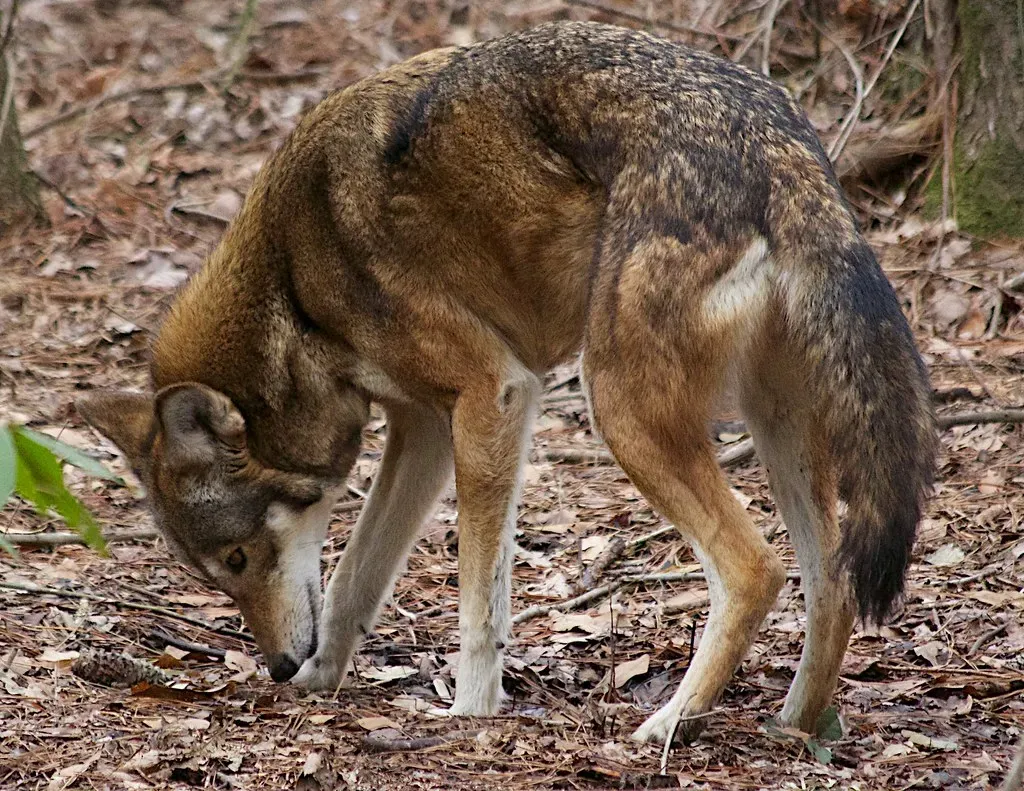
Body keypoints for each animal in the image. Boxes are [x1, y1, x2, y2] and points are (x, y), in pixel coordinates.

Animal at [77, 21, 936, 744]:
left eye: (236, 560)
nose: (281, 667)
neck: (294, 285)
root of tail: (780, 145)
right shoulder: (423, 430)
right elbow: (355, 576)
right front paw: (324, 679)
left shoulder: (493, 395)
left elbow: (477, 600)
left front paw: (470, 710)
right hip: (776, 425)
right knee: (833, 582)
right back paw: (796, 726)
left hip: (619, 411)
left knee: (755, 568)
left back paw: (670, 723)